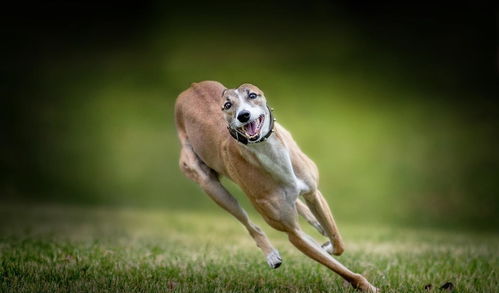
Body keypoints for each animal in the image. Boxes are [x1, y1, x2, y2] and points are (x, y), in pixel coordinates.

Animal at [176, 81, 378, 290]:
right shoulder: (294, 233)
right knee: (249, 223)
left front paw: (329, 244)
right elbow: (339, 267)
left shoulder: (314, 193)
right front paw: (368, 287)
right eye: (227, 105)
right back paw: (271, 254)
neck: (268, 152)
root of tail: (192, 87)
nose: (243, 115)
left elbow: (338, 242)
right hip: (212, 187)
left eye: (252, 95)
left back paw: (314, 221)